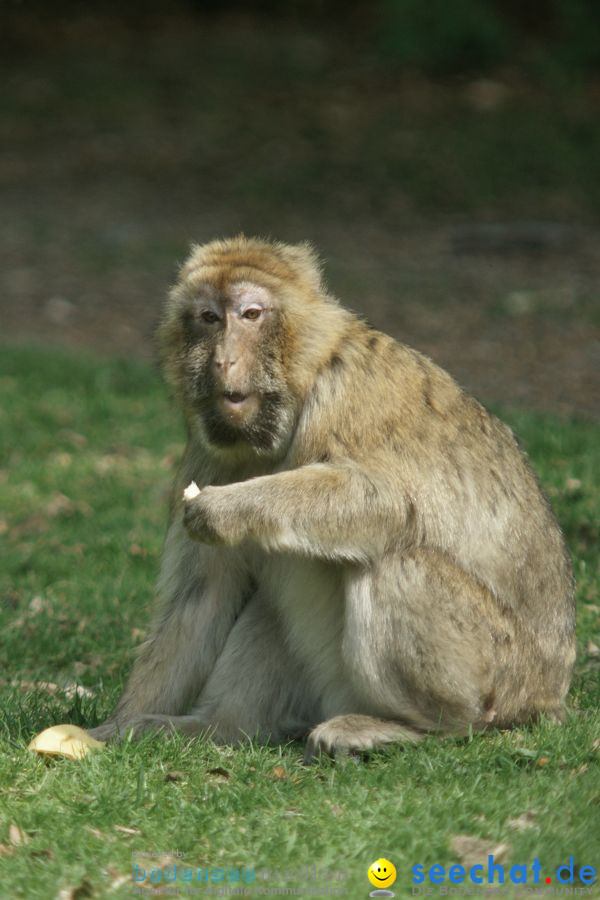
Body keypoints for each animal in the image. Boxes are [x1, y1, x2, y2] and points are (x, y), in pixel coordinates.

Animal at [88, 237, 572, 760]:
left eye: (251, 314)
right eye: (209, 318)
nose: (223, 361)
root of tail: (550, 694)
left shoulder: (347, 398)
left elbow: (386, 500)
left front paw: (229, 509)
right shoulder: (207, 453)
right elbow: (199, 599)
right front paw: (116, 728)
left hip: (499, 675)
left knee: (397, 557)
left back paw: (428, 726)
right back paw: (218, 727)